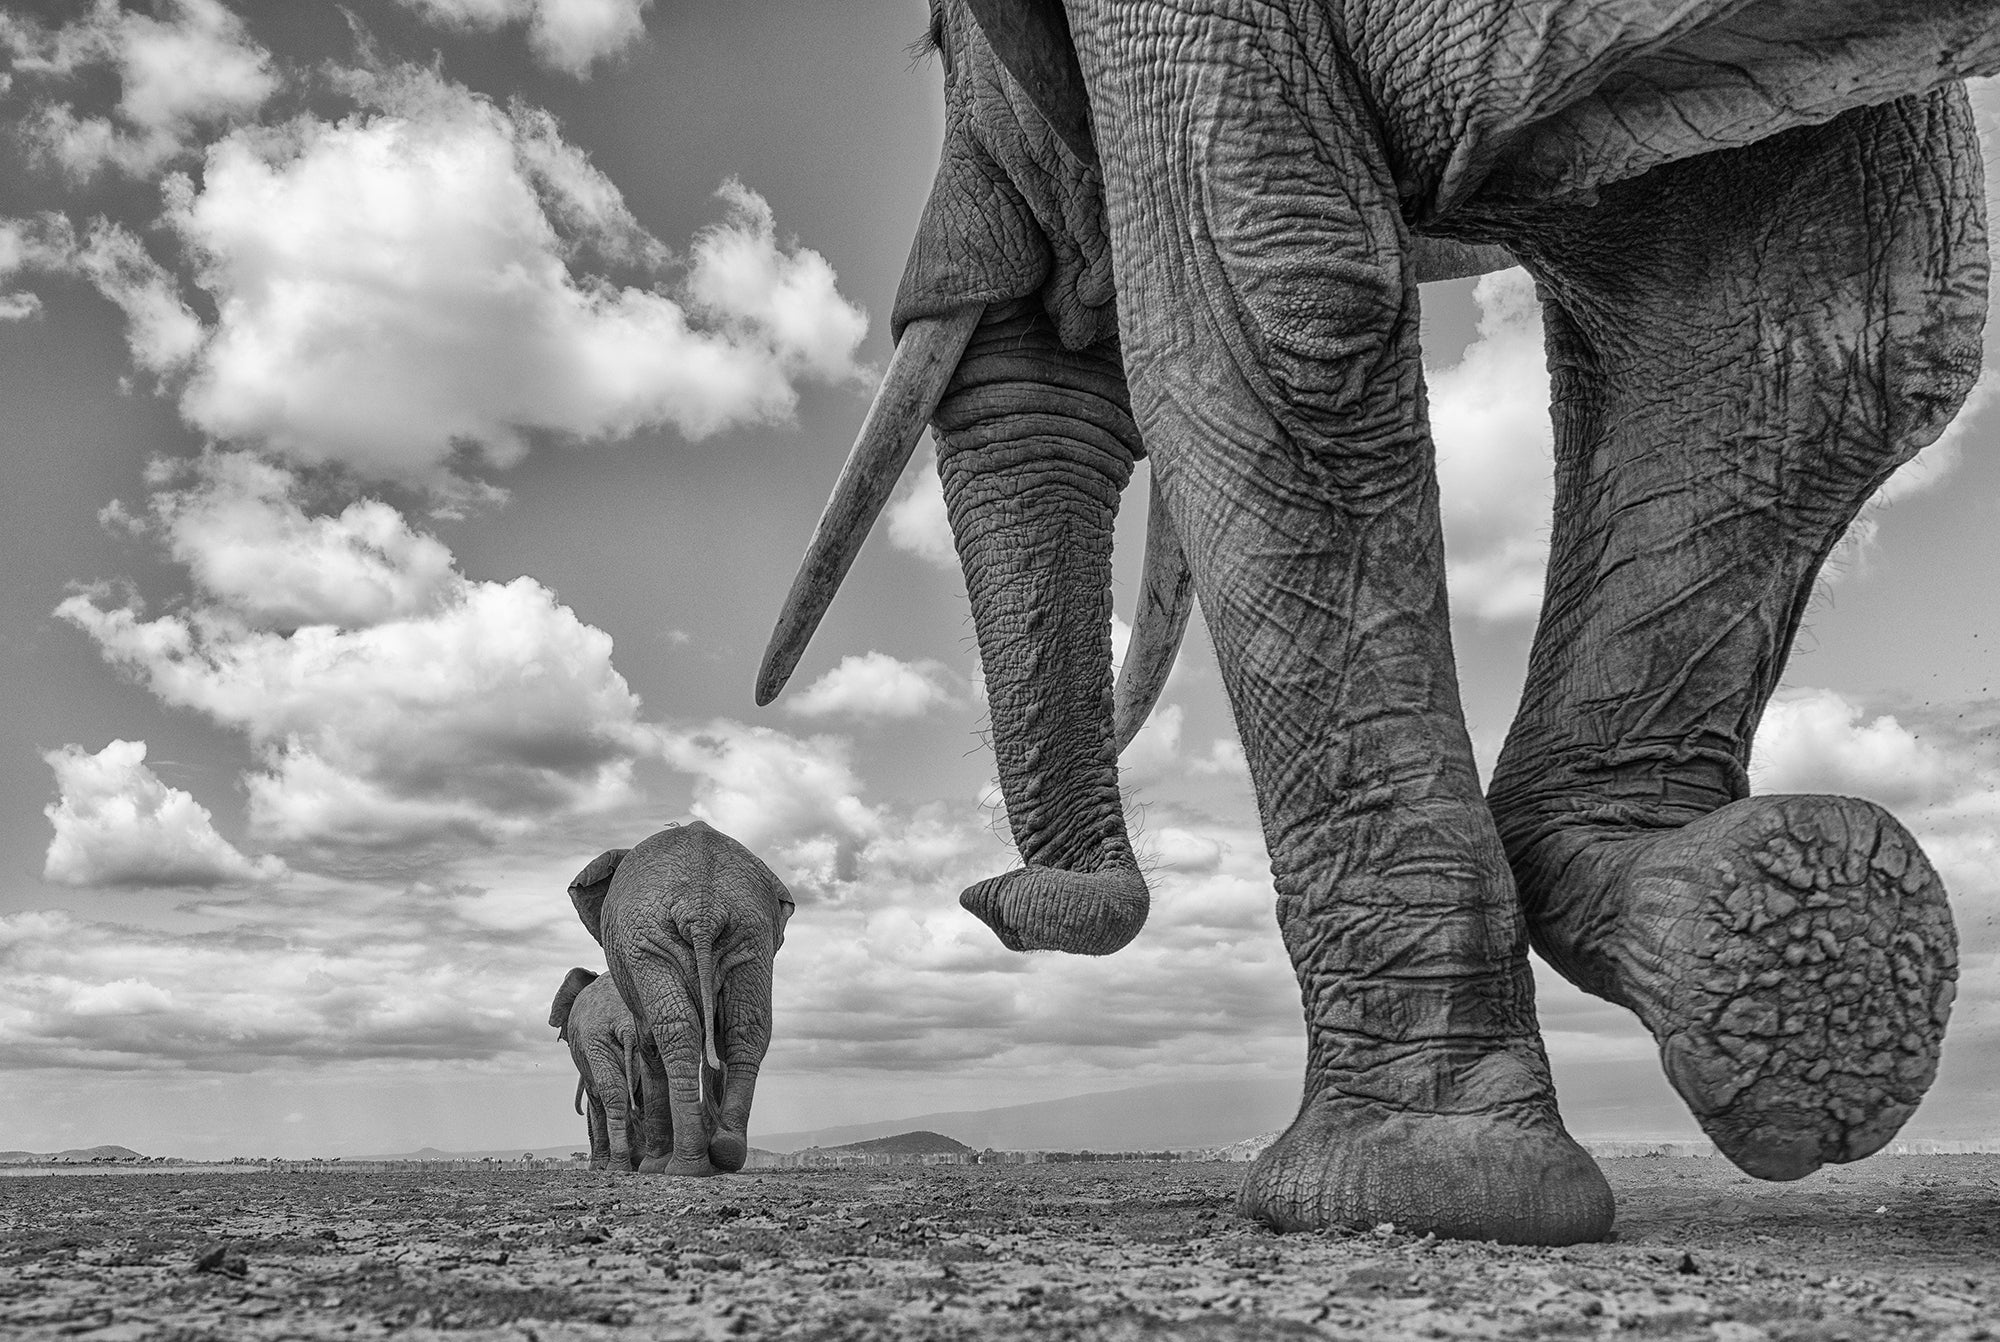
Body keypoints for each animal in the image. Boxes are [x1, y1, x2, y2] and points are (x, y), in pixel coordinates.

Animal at [549, 967, 647, 1171]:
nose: (580, 1111)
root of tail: (626, 1026)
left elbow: (595, 1100)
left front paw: (597, 1166)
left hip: (597, 1042)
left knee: (613, 1096)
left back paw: (617, 1166)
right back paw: (640, 1160)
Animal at [567, 821, 795, 1176]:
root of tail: (702, 908)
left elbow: (650, 1046)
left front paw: (653, 1165)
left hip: (647, 942)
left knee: (673, 1031)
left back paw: (678, 1167)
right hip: (751, 935)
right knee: (745, 1028)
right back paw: (725, 1152)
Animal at [756, 0, 1996, 1244]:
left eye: (932, 42)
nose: (985, 897)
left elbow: (1272, 316)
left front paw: (1429, 1188)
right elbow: (1802, 314)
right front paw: (1753, 930)